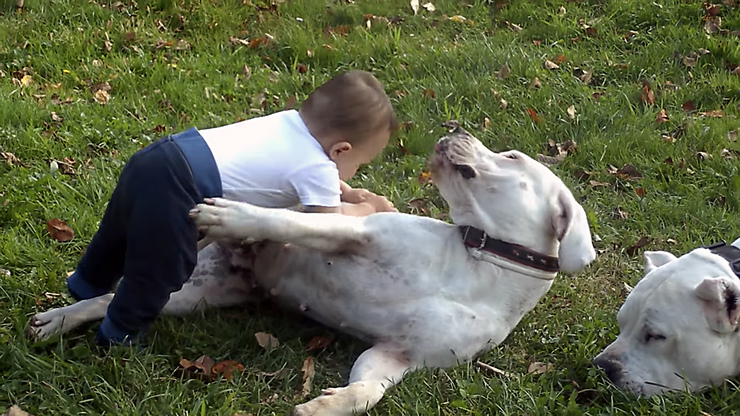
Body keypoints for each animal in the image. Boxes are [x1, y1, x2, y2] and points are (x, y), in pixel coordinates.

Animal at [30, 122, 596, 414]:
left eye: (512, 155)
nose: (456, 128)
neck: (478, 264)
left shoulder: (398, 354)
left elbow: (368, 390)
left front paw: (329, 404)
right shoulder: (353, 234)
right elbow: (292, 223)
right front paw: (238, 217)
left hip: (194, 296)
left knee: (115, 299)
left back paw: (65, 319)